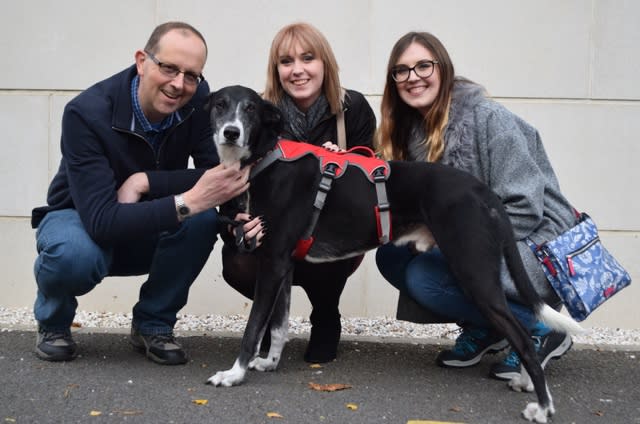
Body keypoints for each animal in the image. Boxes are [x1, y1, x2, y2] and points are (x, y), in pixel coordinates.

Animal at [202, 84, 584, 422]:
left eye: (251, 109)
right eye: (220, 104)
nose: (231, 133)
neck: (268, 158)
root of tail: (481, 191)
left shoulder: (272, 262)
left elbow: (254, 327)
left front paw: (233, 374)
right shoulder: (285, 264)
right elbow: (279, 324)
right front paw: (270, 363)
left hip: (474, 271)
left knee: (522, 336)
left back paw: (543, 406)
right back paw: (526, 382)